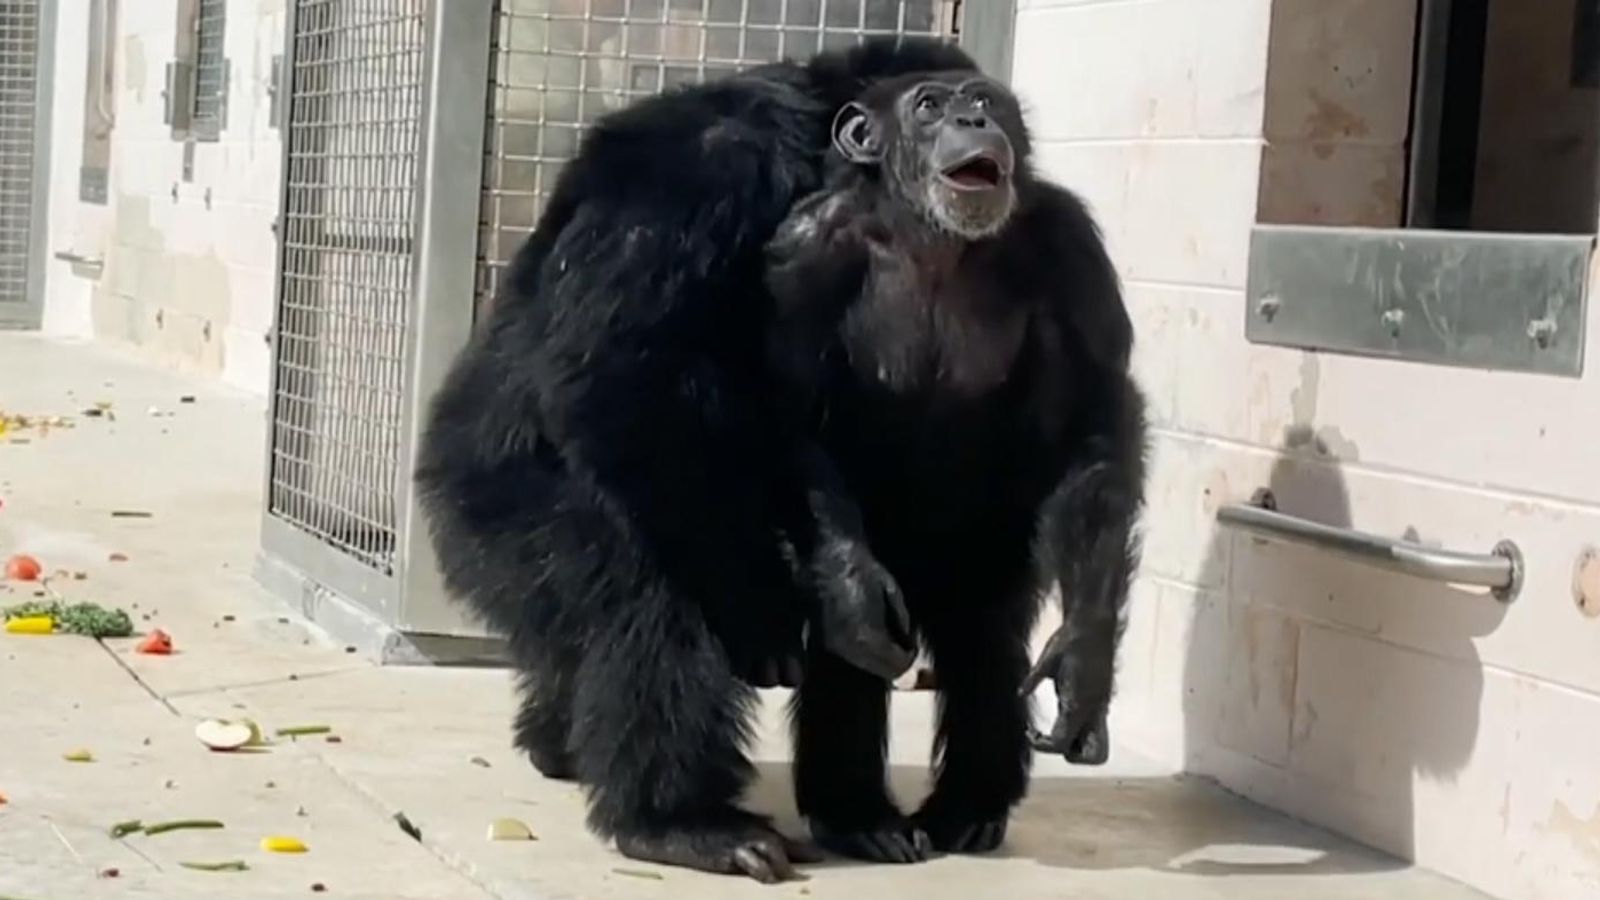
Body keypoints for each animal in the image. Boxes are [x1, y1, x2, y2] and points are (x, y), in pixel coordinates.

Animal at [764, 68, 1152, 864]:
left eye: (985, 99)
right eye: (929, 105)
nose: (973, 118)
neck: (931, 238)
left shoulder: (1072, 247)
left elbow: (1096, 417)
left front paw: (1082, 663)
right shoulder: (801, 255)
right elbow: (789, 409)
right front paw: (853, 591)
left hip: (989, 550)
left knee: (986, 644)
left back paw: (967, 810)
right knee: (853, 657)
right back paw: (859, 816)